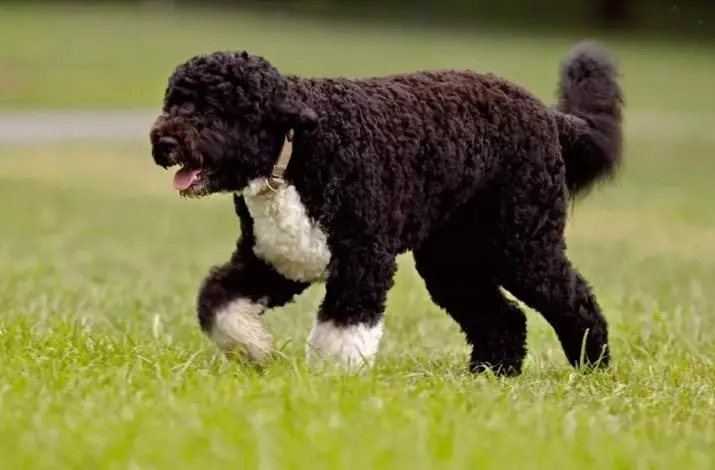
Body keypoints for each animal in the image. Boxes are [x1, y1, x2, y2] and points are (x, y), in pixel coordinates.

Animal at [150, 41, 620, 378]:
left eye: (215, 108)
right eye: (174, 101)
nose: (164, 142)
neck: (297, 151)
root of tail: (548, 115)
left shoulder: (363, 261)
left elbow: (342, 331)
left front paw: (331, 384)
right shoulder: (274, 260)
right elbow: (217, 301)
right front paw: (254, 348)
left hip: (521, 244)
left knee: (575, 300)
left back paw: (592, 365)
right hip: (453, 260)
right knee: (503, 317)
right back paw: (490, 374)